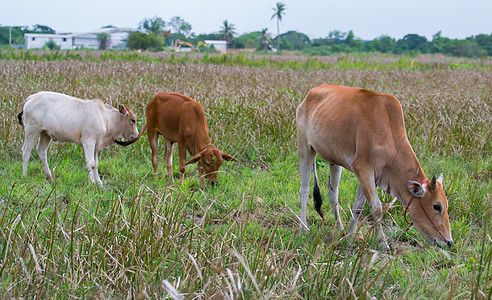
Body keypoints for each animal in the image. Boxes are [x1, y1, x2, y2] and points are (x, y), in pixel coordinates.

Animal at [296, 84, 454, 246]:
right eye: (437, 206)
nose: (449, 242)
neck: (389, 134)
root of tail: (312, 92)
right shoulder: (363, 169)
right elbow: (377, 209)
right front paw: (383, 242)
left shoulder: (374, 176)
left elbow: (358, 207)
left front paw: (350, 237)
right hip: (304, 148)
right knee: (304, 190)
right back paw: (303, 228)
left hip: (334, 160)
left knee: (333, 193)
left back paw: (339, 227)